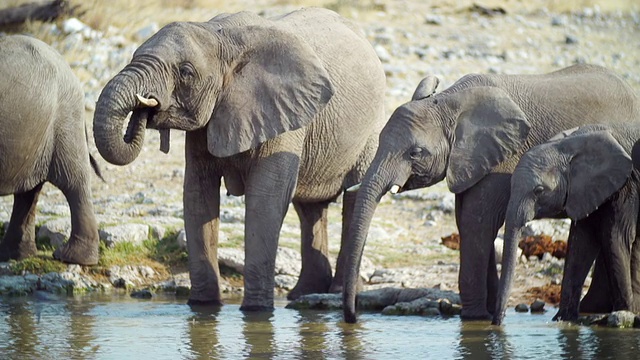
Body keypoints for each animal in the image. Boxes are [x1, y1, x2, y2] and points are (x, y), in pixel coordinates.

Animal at [91, 9, 384, 312]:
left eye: (185, 72)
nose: (144, 108)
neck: (220, 36)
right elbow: (197, 196)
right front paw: (203, 307)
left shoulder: (282, 115)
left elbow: (265, 200)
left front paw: (256, 311)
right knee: (309, 208)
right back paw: (303, 294)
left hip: (371, 130)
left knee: (352, 197)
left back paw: (335, 293)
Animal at [496, 124, 640, 324]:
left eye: (539, 190)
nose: (497, 322)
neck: (571, 144)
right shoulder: (586, 191)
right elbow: (580, 244)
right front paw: (562, 320)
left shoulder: (628, 183)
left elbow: (616, 237)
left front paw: (624, 314)